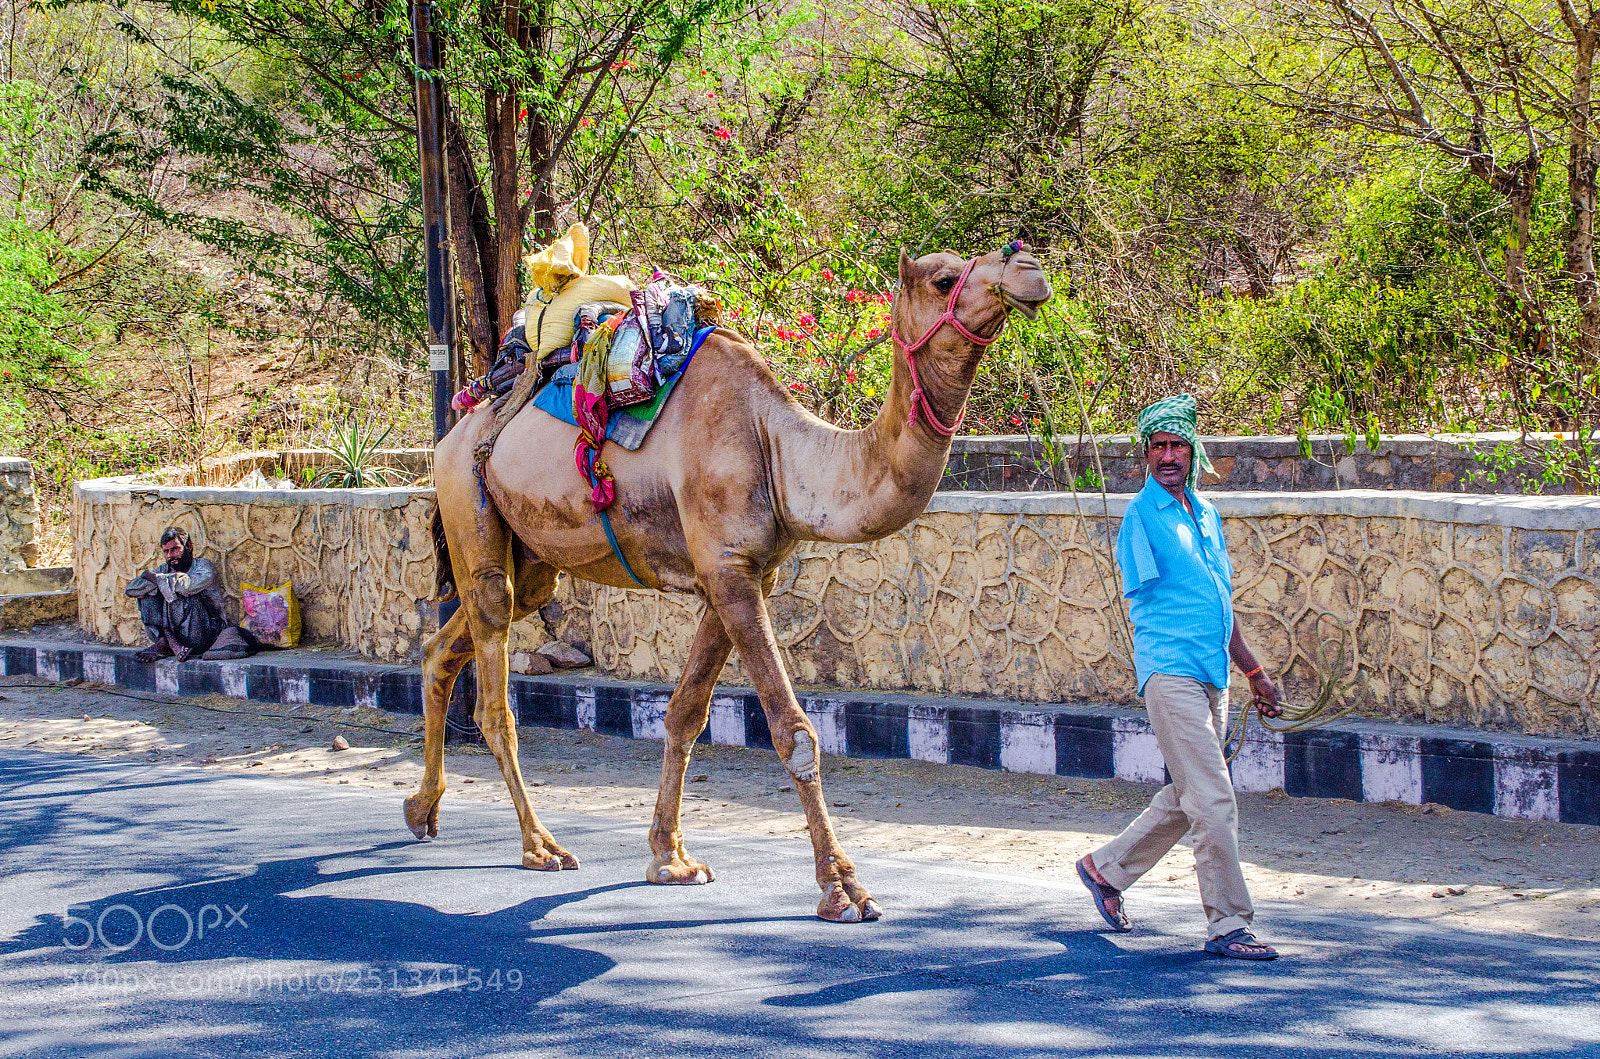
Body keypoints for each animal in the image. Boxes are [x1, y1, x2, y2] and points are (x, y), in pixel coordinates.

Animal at [406, 245, 1052, 922]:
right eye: (945, 279)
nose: (1028, 269)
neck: (776, 449)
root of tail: (452, 433)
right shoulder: (727, 569)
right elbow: (794, 732)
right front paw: (842, 888)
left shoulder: (743, 573)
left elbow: (686, 714)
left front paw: (670, 859)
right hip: (469, 498)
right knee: (493, 683)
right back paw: (541, 846)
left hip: (533, 557)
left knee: (448, 644)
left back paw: (421, 810)